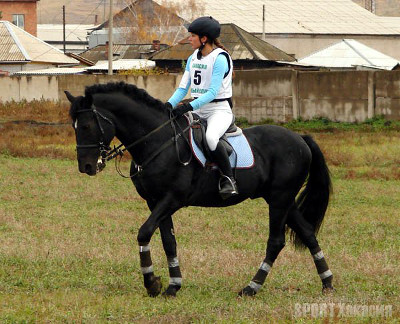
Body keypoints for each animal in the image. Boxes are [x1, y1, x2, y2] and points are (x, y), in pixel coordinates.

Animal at [65, 82, 332, 298]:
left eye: (87, 125)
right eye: (74, 127)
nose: (86, 166)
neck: (157, 141)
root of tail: (300, 138)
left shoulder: (172, 199)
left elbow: (144, 233)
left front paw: (152, 283)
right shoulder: (155, 202)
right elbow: (168, 241)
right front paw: (173, 285)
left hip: (279, 199)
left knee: (276, 241)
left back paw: (251, 287)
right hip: (283, 200)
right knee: (308, 233)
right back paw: (327, 282)